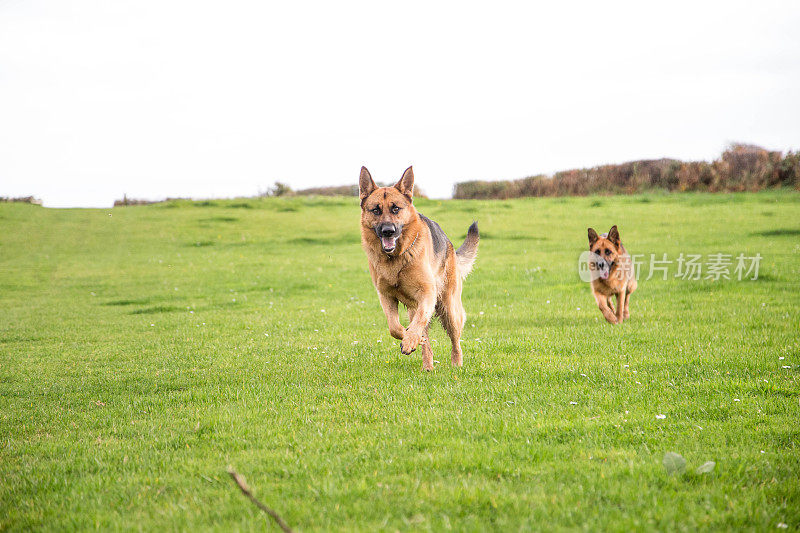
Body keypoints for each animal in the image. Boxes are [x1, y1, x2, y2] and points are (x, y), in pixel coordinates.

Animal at [360, 166, 478, 370]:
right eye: (375, 210)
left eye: (396, 208)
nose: (388, 231)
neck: (395, 259)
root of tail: (450, 246)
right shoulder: (386, 296)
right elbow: (394, 327)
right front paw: (411, 338)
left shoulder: (427, 294)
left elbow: (418, 322)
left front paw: (410, 340)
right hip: (414, 309)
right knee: (425, 339)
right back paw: (427, 365)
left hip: (449, 310)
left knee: (455, 340)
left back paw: (456, 364)